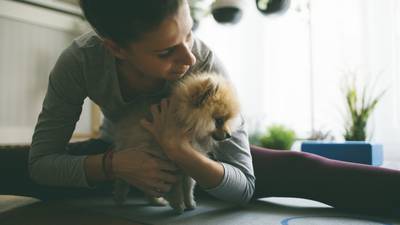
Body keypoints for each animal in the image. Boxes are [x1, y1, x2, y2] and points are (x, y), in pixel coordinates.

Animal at [114, 71, 242, 213]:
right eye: (219, 120)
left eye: (226, 120)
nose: (229, 135)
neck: (183, 121)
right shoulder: (167, 163)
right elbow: (175, 187)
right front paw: (178, 205)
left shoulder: (187, 161)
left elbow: (188, 186)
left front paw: (190, 203)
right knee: (122, 180)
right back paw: (119, 198)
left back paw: (155, 201)